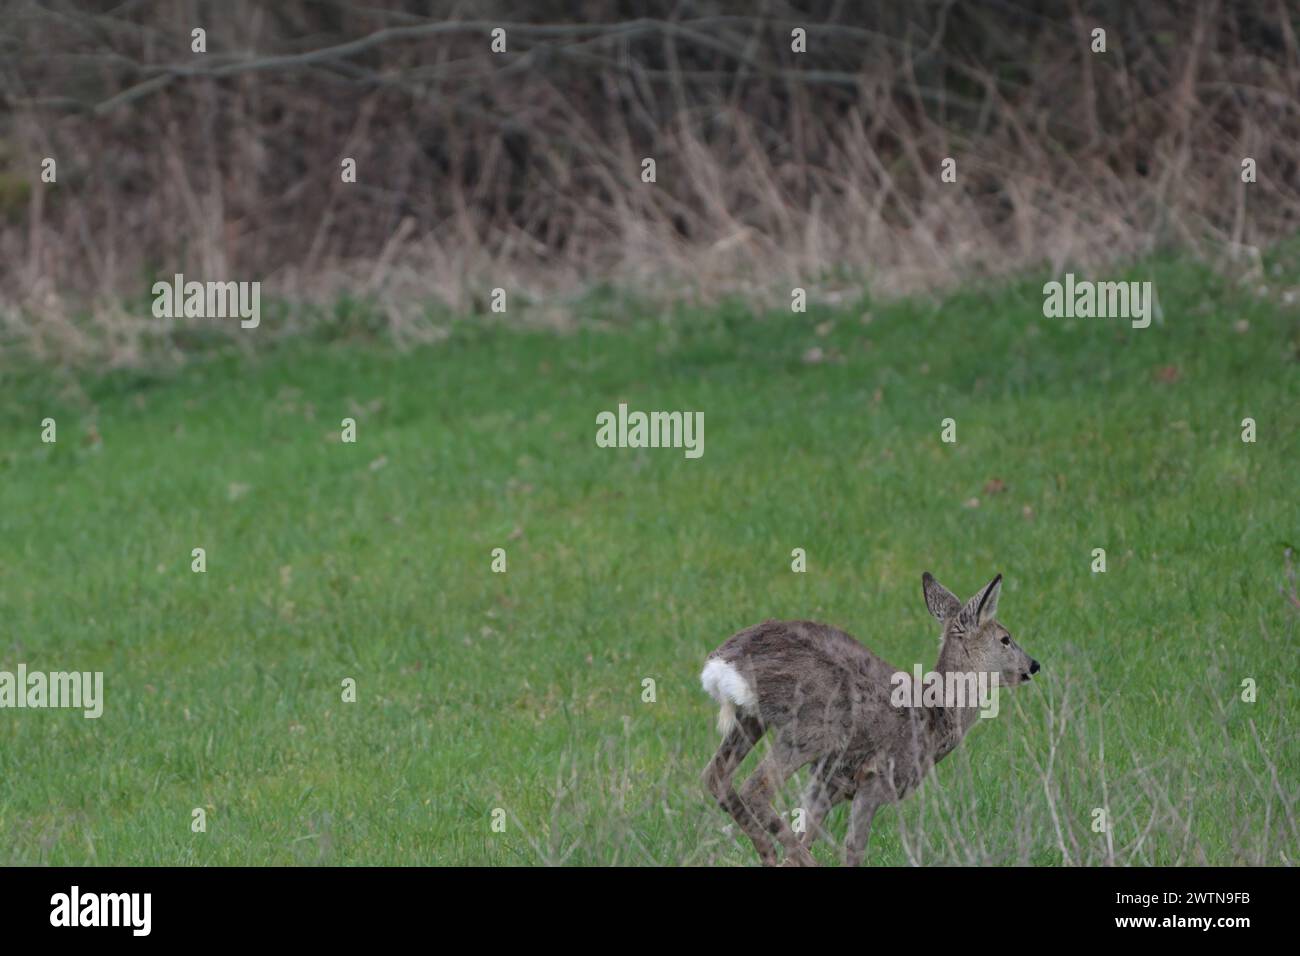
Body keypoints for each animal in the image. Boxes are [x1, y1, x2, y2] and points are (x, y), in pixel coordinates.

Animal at [696, 572, 1040, 868]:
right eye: (1005, 638)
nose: (1033, 665)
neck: (936, 717)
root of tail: (724, 662)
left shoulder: (830, 778)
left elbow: (805, 832)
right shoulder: (876, 777)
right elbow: (853, 847)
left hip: (753, 719)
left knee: (716, 775)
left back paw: (768, 853)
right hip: (814, 727)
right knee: (756, 787)